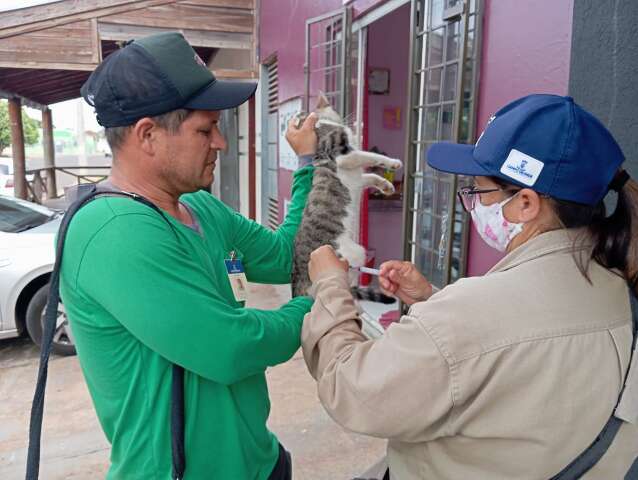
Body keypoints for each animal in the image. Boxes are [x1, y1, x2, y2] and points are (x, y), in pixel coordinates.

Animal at [292, 94, 402, 296]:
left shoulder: (358, 178)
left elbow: (371, 175)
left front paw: (387, 185)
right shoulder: (343, 155)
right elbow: (369, 155)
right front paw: (392, 162)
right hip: (355, 252)